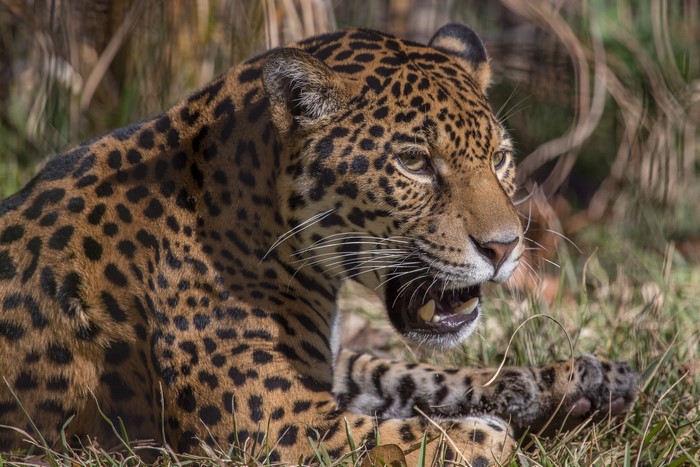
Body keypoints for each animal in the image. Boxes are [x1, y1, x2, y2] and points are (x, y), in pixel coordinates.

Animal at [0, 24, 637, 464]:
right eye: (414, 163)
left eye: (499, 157)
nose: (505, 249)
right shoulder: (278, 427)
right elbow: (418, 436)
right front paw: (485, 434)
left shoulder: (332, 363)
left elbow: (424, 374)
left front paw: (582, 378)